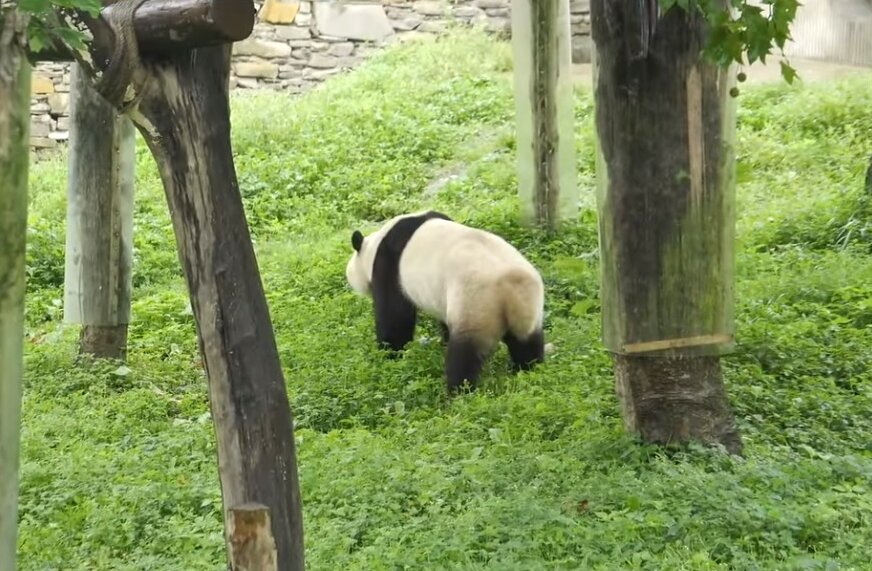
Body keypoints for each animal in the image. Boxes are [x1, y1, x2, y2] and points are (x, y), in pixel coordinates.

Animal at [342, 210, 540, 394]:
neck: (375, 244)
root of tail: (511, 287)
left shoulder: (390, 266)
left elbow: (395, 316)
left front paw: (390, 353)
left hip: (475, 301)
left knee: (464, 355)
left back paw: (459, 392)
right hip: (528, 307)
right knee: (526, 342)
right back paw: (526, 369)